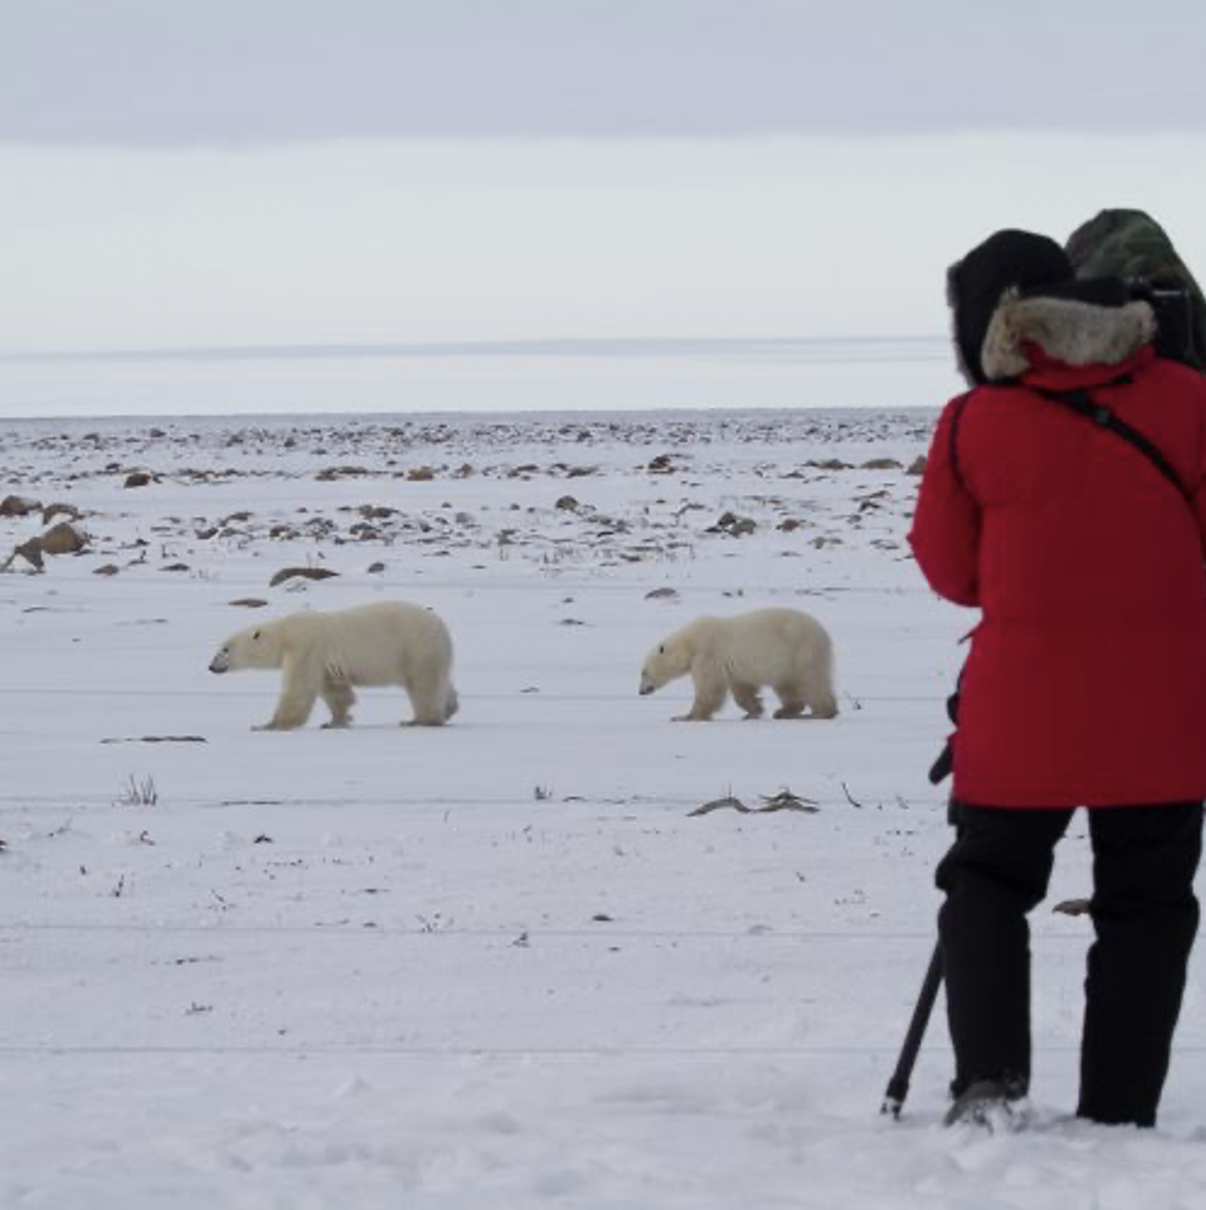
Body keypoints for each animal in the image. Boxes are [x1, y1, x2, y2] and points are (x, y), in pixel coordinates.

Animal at [206, 600, 457, 730]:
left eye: (225, 649)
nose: (211, 666)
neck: (284, 634)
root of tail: (442, 627)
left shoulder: (305, 646)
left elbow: (299, 688)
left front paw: (270, 724)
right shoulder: (324, 662)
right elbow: (335, 690)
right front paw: (335, 721)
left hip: (415, 646)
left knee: (423, 684)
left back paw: (420, 719)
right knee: (441, 680)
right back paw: (449, 709)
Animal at [638, 609, 837, 721]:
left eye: (643, 672)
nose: (641, 691)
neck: (690, 642)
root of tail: (824, 633)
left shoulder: (708, 654)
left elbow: (709, 688)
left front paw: (686, 716)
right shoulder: (732, 666)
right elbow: (742, 689)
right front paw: (753, 711)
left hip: (802, 651)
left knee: (811, 682)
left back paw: (821, 713)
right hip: (790, 662)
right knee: (787, 686)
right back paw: (784, 712)